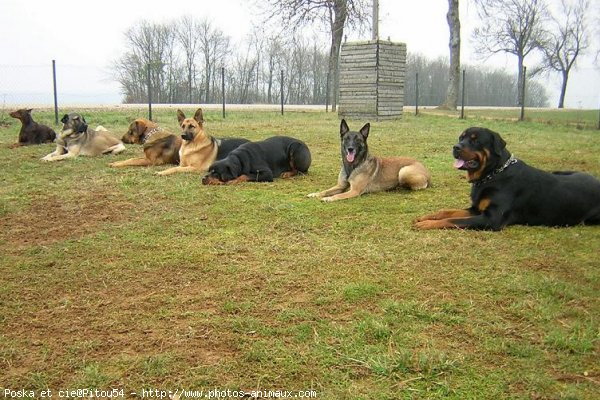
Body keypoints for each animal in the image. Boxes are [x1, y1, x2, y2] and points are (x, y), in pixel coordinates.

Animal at [414, 126, 600, 230]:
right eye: (461, 137)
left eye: (475, 140)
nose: (456, 147)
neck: (493, 174)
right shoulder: (477, 208)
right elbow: (447, 211)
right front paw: (427, 217)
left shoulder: (491, 218)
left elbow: (454, 219)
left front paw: (427, 224)